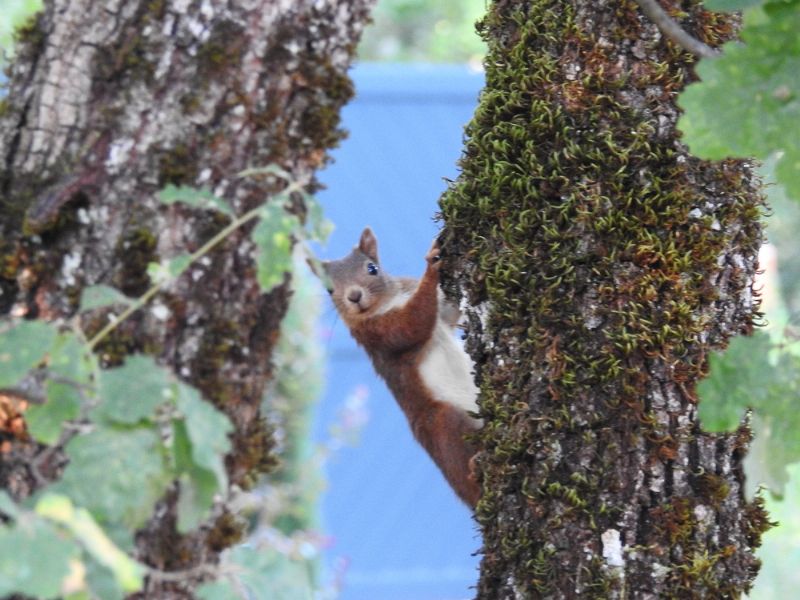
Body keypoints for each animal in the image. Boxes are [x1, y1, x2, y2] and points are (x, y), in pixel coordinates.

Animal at [318, 227, 482, 508]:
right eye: (329, 289)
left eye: (372, 268)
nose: (354, 296)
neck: (389, 301)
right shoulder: (378, 334)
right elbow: (412, 324)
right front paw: (431, 265)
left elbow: (448, 311)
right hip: (439, 422)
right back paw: (475, 467)